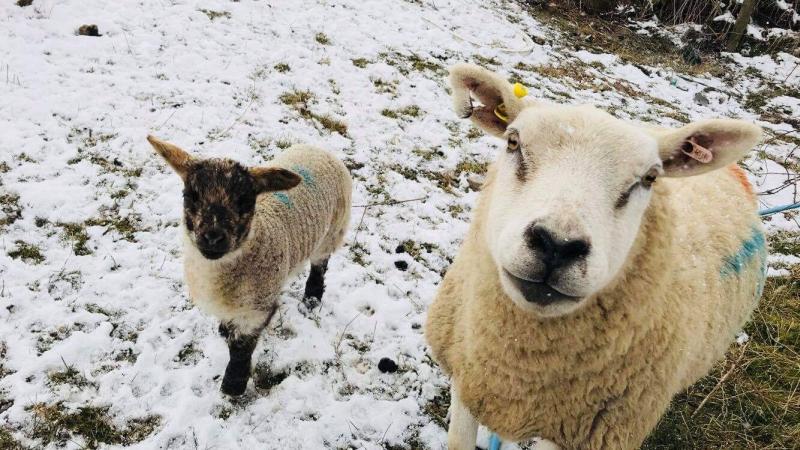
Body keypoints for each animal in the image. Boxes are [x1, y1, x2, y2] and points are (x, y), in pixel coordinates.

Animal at [148, 135, 352, 396]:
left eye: (245, 201)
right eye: (190, 196)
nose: (213, 237)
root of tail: (319, 149)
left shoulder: (257, 308)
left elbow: (240, 349)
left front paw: (233, 384)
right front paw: (224, 330)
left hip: (332, 231)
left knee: (320, 267)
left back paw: (312, 300)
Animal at [424, 64, 768, 450]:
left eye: (650, 178)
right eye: (514, 142)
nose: (557, 245)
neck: (520, 366)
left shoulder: (582, 432)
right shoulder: (467, 371)